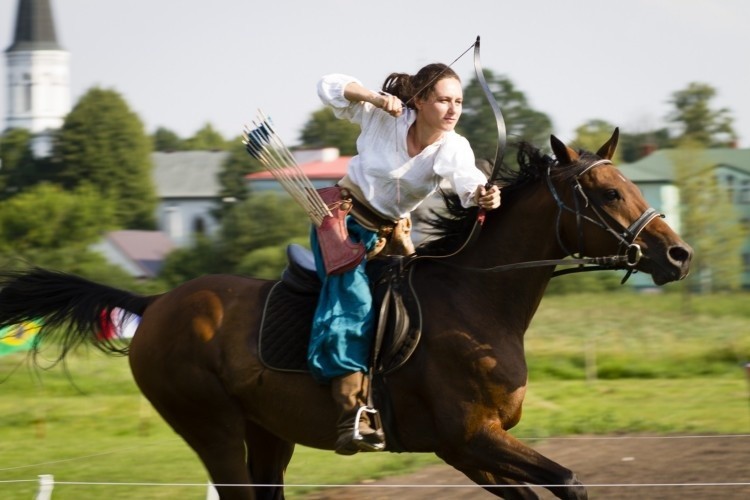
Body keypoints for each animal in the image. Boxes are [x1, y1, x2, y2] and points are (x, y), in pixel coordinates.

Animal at [0, 130, 692, 500]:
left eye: (632, 184)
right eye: (608, 192)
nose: (678, 254)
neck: (475, 300)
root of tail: (157, 304)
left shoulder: (467, 448)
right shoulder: (471, 437)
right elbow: (570, 480)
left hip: (266, 431)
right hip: (211, 426)